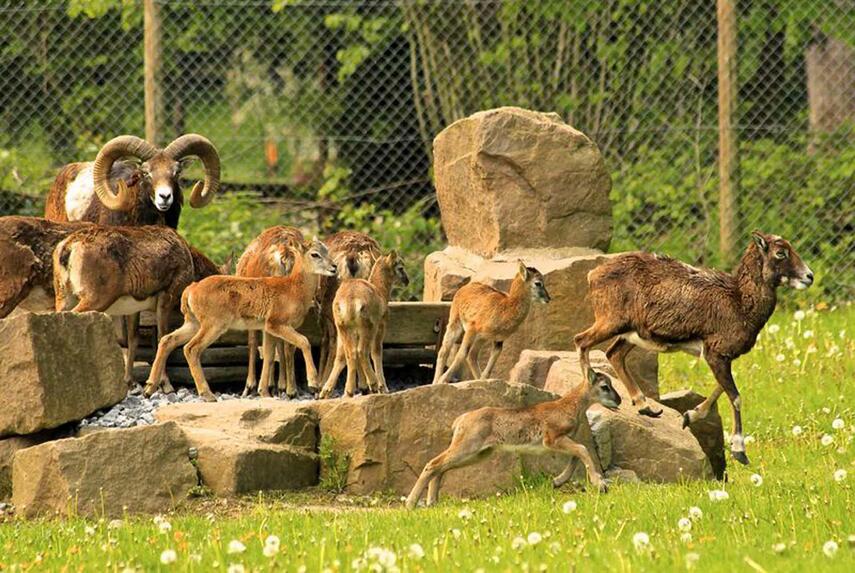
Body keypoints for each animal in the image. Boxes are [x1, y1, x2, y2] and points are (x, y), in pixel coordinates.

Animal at [144, 235, 338, 400]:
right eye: (315, 254)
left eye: (327, 250)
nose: (334, 267)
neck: (293, 291)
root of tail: (190, 290)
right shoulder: (276, 322)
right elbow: (304, 341)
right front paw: (313, 384)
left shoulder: (267, 327)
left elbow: (269, 355)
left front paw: (264, 392)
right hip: (213, 323)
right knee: (191, 348)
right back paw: (207, 394)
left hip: (193, 322)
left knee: (167, 340)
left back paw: (149, 388)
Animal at [404, 364, 620, 508]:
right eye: (604, 386)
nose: (619, 400)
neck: (569, 406)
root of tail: (460, 420)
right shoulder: (551, 439)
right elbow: (582, 450)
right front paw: (601, 485)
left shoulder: (563, 440)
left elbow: (577, 456)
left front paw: (557, 481)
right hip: (467, 447)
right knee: (433, 463)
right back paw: (411, 503)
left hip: (477, 453)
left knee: (441, 467)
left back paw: (432, 502)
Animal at [576, 230, 816, 462]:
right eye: (780, 253)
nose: (809, 276)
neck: (740, 302)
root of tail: (592, 275)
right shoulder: (715, 354)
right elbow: (736, 397)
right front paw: (740, 452)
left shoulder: (721, 357)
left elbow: (721, 389)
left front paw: (688, 417)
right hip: (610, 323)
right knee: (581, 341)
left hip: (630, 335)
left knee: (613, 354)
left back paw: (646, 408)